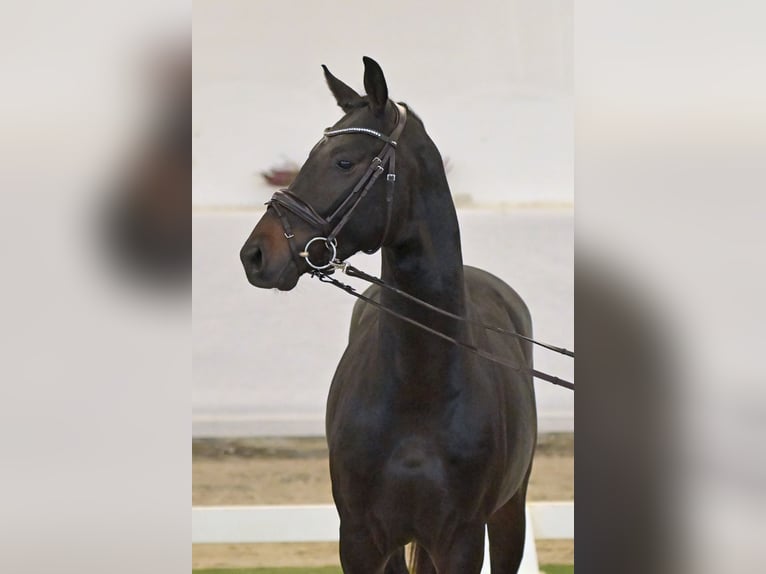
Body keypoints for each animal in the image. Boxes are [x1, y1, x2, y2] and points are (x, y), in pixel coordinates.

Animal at [243, 57, 536, 572]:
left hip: (508, 516)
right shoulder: (360, 539)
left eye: (344, 161)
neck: (419, 394)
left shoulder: (461, 541)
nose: (255, 254)